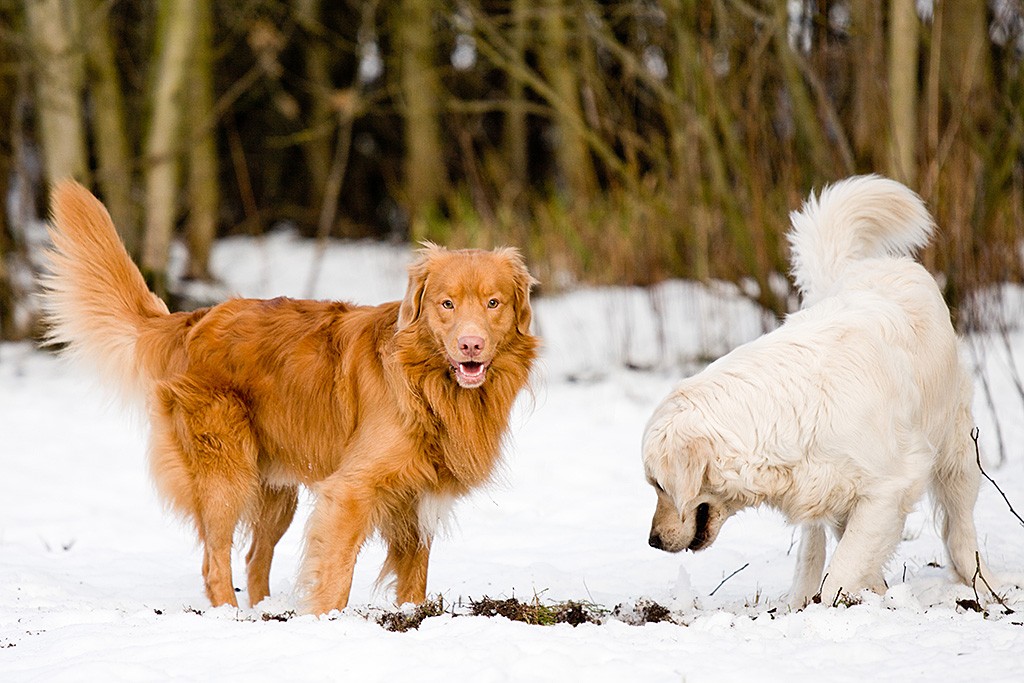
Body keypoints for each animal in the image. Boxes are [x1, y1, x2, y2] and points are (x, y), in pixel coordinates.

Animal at [39, 181, 536, 614]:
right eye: (446, 304)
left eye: (493, 303)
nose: (471, 345)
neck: (428, 385)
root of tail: (194, 319)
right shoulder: (351, 490)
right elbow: (336, 573)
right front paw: (325, 621)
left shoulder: (417, 501)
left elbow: (414, 578)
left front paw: (412, 616)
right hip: (225, 472)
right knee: (214, 560)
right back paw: (231, 616)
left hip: (275, 492)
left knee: (254, 558)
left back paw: (262, 612)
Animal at [643, 176, 987, 610]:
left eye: (658, 485)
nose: (652, 541)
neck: (783, 412)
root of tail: (862, 265)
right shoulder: (837, 493)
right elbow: (847, 556)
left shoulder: (889, 486)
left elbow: (844, 566)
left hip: (956, 448)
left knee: (959, 526)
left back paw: (983, 585)